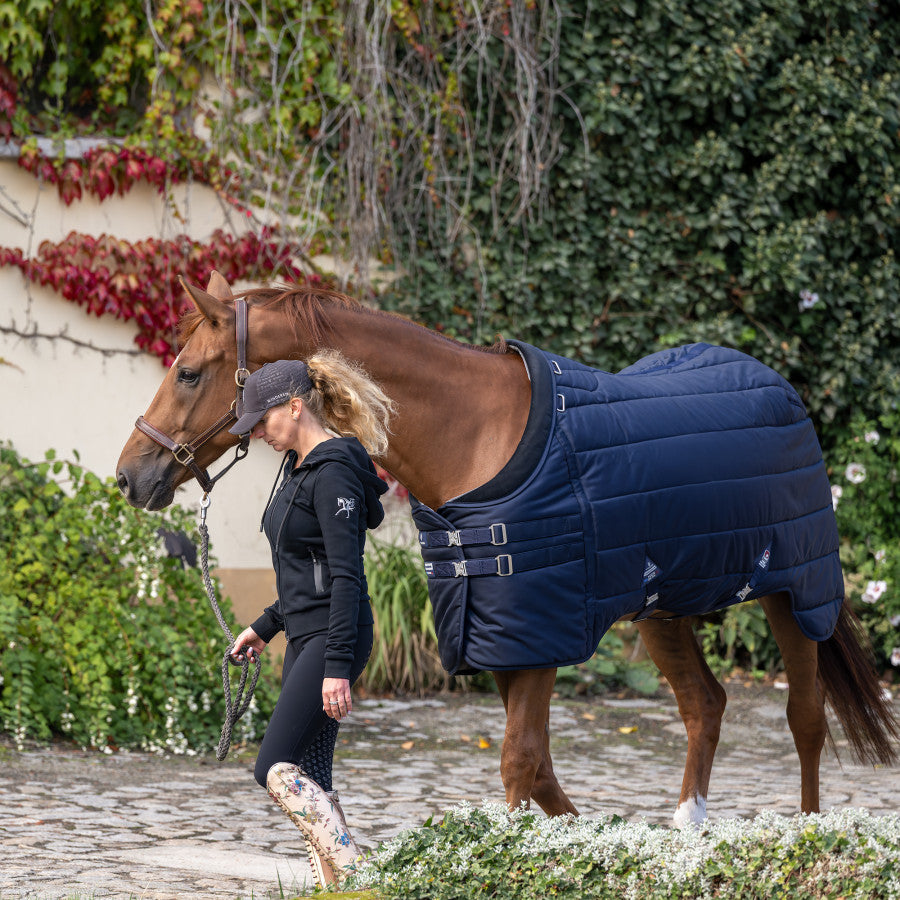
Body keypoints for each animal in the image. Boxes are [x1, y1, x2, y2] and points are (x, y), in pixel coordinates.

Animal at [116, 272, 898, 827]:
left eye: (188, 371)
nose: (130, 475)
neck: (474, 434)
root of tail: (780, 389)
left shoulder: (539, 632)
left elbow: (521, 764)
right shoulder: (493, 634)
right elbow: (543, 770)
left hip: (793, 595)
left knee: (804, 719)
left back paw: (803, 831)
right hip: (662, 606)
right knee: (705, 707)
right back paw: (686, 833)